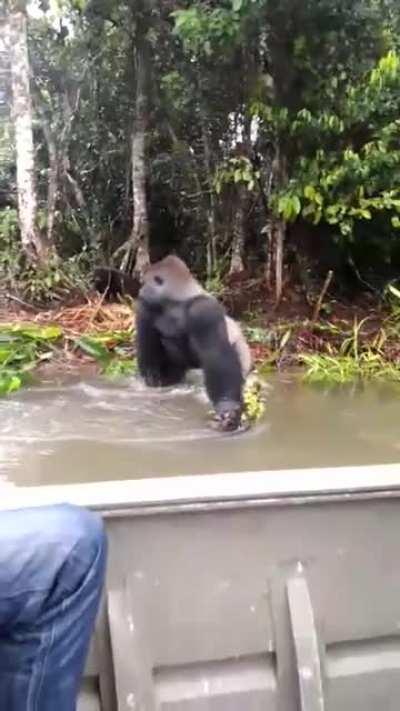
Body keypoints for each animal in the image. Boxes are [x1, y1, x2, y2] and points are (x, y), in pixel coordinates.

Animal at [136, 255, 252, 431]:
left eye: (144, 282)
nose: (140, 291)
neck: (178, 299)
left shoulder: (204, 311)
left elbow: (216, 355)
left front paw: (227, 407)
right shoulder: (146, 308)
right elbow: (148, 354)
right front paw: (155, 380)